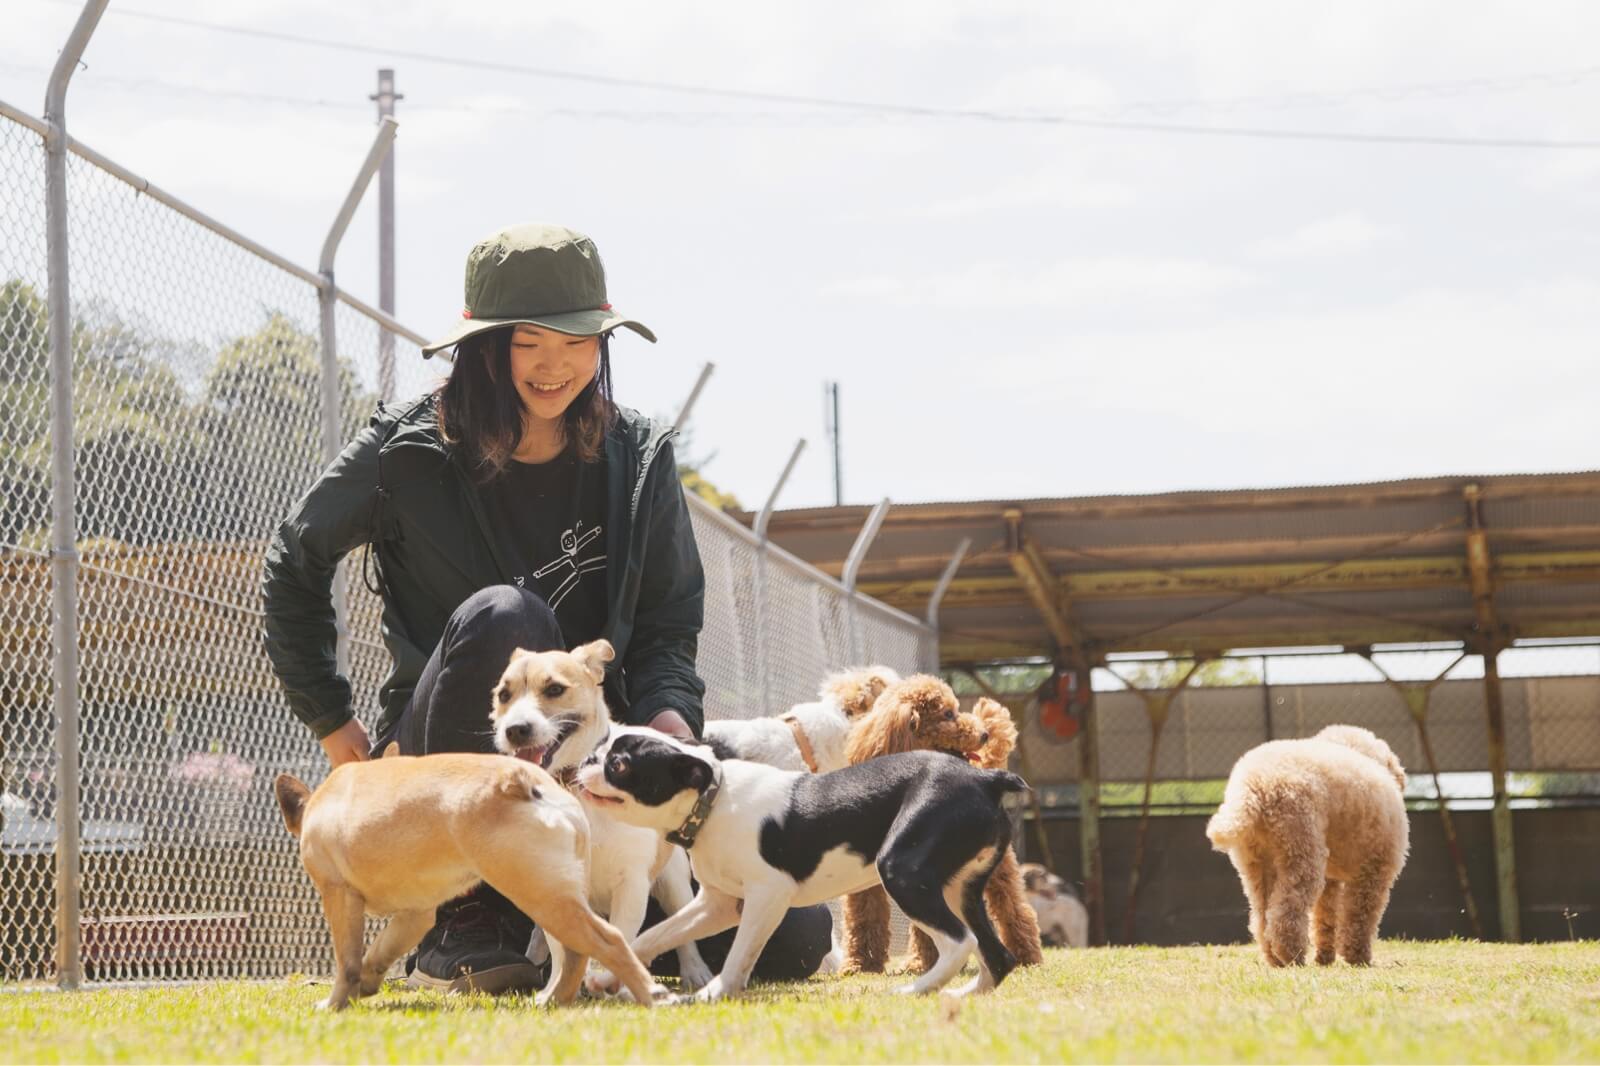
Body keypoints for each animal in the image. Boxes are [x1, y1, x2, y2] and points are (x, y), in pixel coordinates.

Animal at [272, 752, 659, 1011]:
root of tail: (526, 780)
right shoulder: (415, 916)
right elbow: (379, 950)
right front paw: (367, 983)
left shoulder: (339, 896)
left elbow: (348, 961)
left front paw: (336, 1003)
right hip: (552, 895)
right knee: (575, 953)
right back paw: (555, 999)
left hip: (536, 892)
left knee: (607, 940)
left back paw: (651, 994)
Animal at [576, 723, 1024, 998]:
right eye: (598, 751)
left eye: (619, 765)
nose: (586, 760)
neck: (713, 800)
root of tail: (985, 779)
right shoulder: (718, 905)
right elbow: (651, 936)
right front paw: (606, 976)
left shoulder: (766, 896)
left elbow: (741, 951)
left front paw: (715, 992)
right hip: (957, 889)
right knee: (997, 955)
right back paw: (963, 994)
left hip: (904, 874)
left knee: (960, 942)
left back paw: (915, 990)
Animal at [838, 681, 1049, 973]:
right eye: (948, 714)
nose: (984, 734)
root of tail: (985, 779)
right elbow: (863, 914)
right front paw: (860, 964)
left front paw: (925, 962)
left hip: (996, 867)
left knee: (1013, 907)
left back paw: (1027, 955)